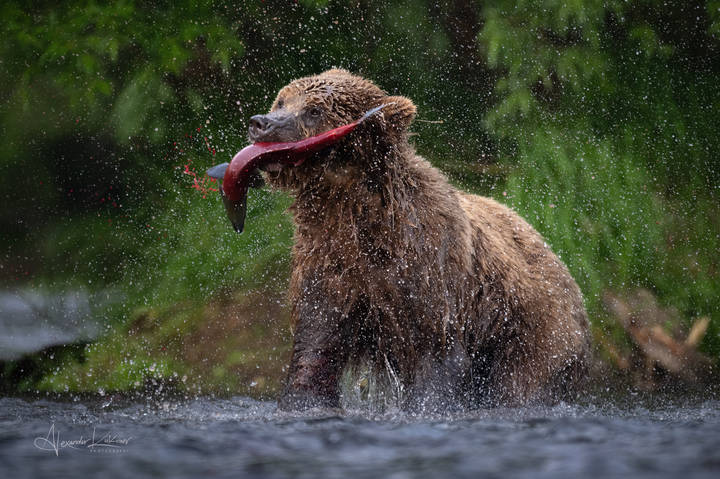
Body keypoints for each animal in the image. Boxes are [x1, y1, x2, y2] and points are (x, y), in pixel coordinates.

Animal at [249, 68, 592, 412]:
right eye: (282, 100)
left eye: (314, 110)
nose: (262, 122)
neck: (355, 210)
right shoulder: (329, 260)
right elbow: (317, 341)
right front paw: (304, 400)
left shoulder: (428, 266)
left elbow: (436, 350)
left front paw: (428, 404)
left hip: (532, 332)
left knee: (522, 383)